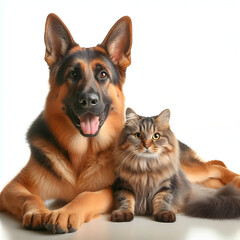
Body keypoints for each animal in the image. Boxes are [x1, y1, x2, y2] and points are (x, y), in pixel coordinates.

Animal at [111, 108, 240, 222]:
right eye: (138, 135)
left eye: (156, 136)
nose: (147, 146)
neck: (146, 166)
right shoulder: (123, 183)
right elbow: (126, 199)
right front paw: (123, 213)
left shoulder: (167, 183)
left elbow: (162, 199)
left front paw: (163, 212)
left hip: (190, 170)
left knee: (216, 167)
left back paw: (236, 180)